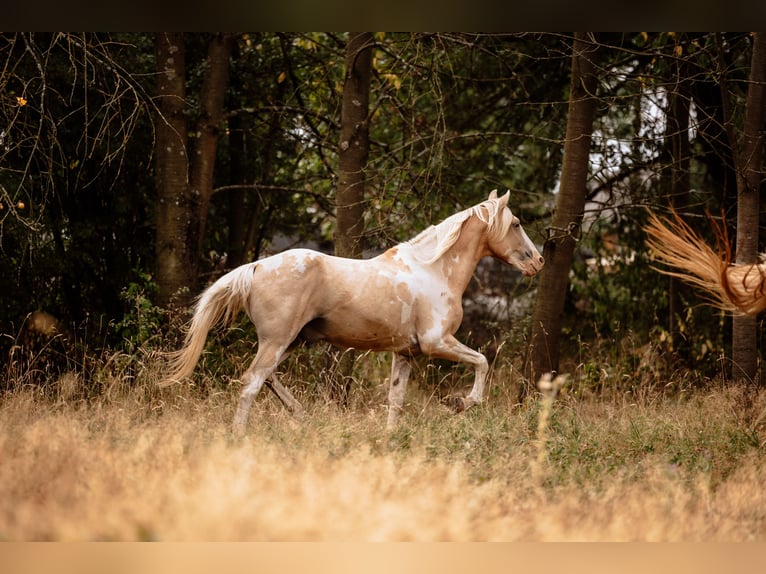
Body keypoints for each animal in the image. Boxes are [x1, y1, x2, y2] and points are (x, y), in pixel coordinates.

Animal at [162, 190, 544, 436]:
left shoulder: (405, 353)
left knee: (267, 378)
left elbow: (395, 401)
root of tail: (256, 266)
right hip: (278, 340)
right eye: (516, 223)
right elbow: (482, 361)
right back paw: (240, 434)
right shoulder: (437, 342)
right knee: (252, 382)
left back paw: (300, 413)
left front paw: (390, 440)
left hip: (291, 342)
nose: (538, 261)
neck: (434, 269)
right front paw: (461, 403)